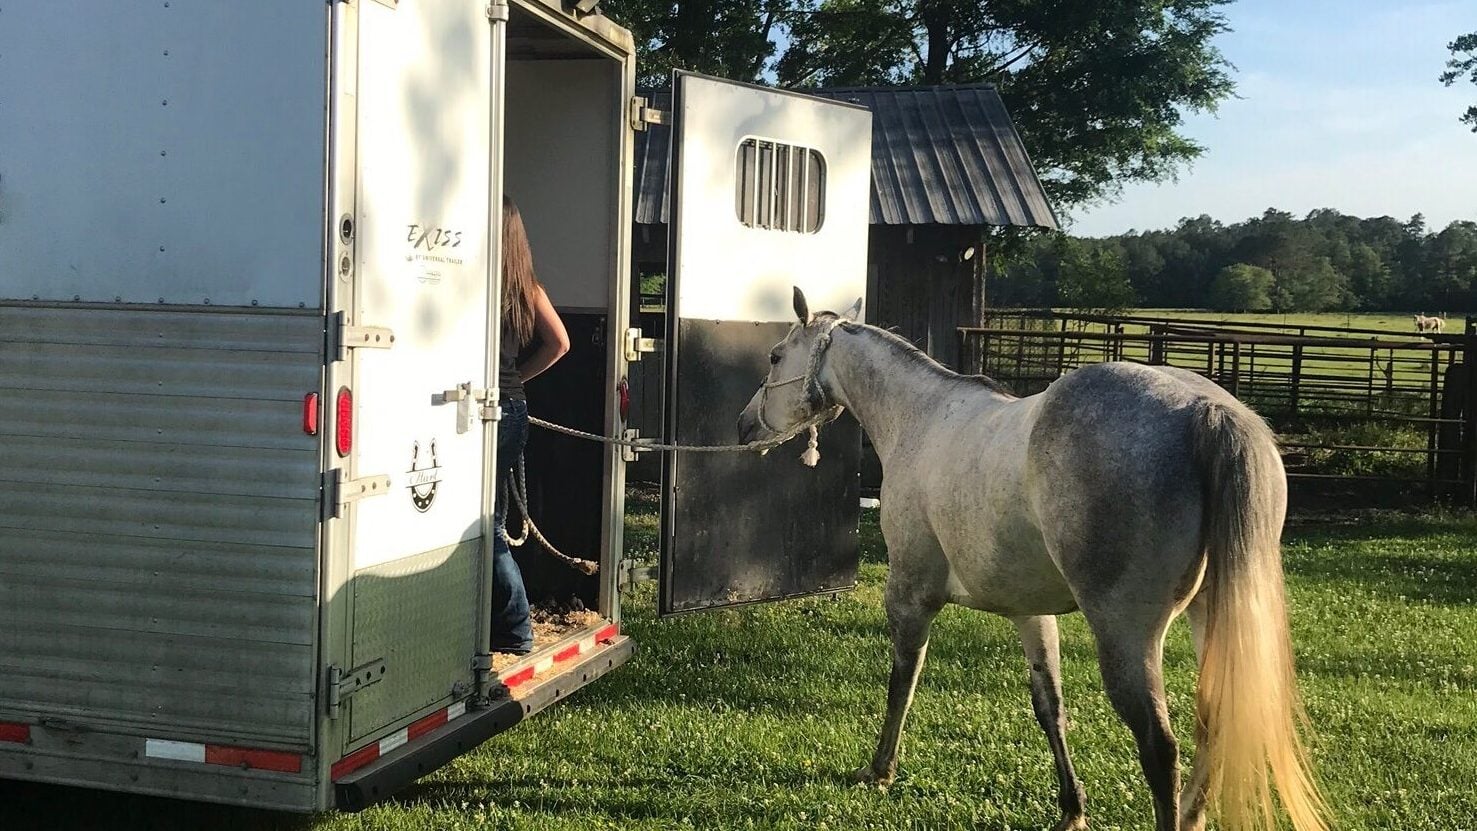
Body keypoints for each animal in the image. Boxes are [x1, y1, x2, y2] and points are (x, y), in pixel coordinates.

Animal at [737, 288, 1326, 831]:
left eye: (775, 356)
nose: (744, 426)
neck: (921, 418)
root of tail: (1207, 410)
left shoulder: (909, 594)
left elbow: (902, 679)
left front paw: (880, 770)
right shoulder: (1031, 612)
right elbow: (1050, 705)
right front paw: (1072, 809)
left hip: (1126, 633)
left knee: (1161, 749)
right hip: (1211, 614)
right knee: (1215, 719)